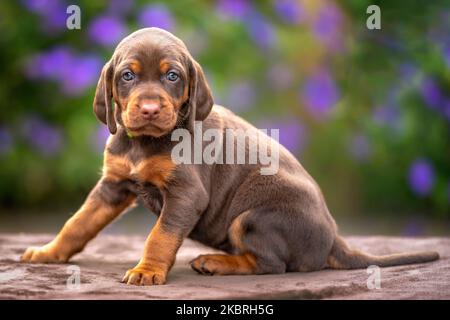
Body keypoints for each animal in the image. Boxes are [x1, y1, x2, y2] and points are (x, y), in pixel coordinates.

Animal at [22, 28, 440, 286]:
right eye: (128, 76)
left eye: (172, 76)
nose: (150, 109)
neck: (146, 142)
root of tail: (334, 238)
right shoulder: (113, 185)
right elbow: (78, 223)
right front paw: (48, 252)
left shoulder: (186, 194)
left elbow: (159, 236)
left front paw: (147, 270)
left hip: (252, 218)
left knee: (272, 266)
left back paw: (217, 262)